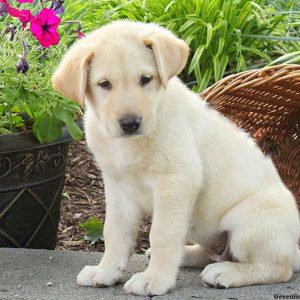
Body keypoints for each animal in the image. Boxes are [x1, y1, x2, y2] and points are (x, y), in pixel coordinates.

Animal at [52, 20, 300, 296]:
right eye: (104, 84)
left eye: (145, 79)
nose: (130, 123)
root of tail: (294, 248)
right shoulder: (117, 185)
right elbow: (114, 230)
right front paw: (106, 271)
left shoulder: (176, 180)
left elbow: (162, 233)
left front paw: (154, 280)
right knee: (211, 252)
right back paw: (187, 256)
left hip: (251, 222)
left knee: (278, 268)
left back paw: (225, 272)